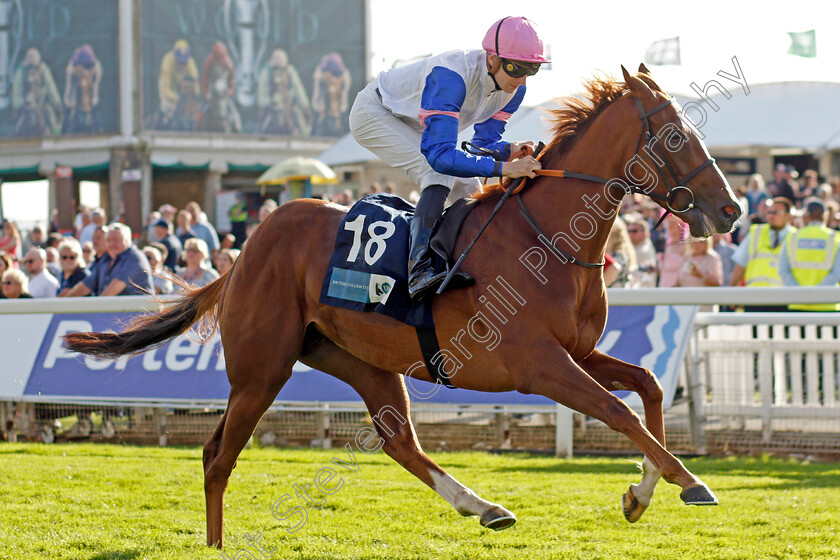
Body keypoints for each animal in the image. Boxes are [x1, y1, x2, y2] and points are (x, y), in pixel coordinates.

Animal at [65, 65, 740, 548]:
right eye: (676, 135)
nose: (730, 209)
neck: (547, 238)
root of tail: (246, 250)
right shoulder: (538, 365)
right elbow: (618, 411)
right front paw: (689, 481)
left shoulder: (576, 352)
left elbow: (648, 386)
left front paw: (642, 492)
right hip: (262, 367)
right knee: (216, 455)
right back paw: (216, 544)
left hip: (358, 359)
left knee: (398, 441)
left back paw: (485, 507)